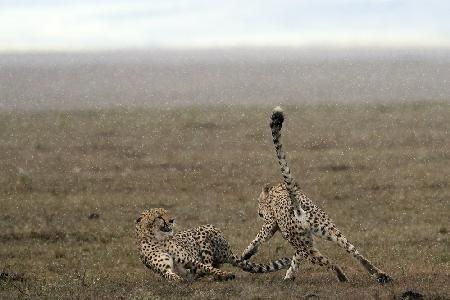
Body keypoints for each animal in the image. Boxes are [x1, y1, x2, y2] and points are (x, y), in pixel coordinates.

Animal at [136, 209, 292, 282]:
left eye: (167, 213)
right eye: (158, 217)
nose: (172, 220)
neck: (157, 239)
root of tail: (229, 252)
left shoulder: (190, 260)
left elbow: (208, 268)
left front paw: (226, 275)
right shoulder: (165, 270)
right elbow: (170, 276)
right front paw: (179, 279)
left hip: (205, 232)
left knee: (210, 265)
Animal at [241, 106, 392, 284]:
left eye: (259, 203)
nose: (258, 212)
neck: (277, 189)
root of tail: (298, 209)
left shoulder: (272, 224)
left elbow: (259, 238)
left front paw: (246, 254)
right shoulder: (304, 241)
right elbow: (295, 258)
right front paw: (289, 275)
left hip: (308, 247)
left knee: (330, 262)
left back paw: (342, 277)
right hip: (331, 232)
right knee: (356, 253)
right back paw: (381, 275)